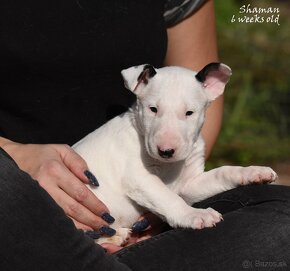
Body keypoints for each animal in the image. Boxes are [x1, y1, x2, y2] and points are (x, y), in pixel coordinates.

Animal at [72, 63, 276, 246]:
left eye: (189, 113)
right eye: (153, 109)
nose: (166, 151)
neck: (169, 165)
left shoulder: (189, 184)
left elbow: (222, 172)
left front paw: (252, 172)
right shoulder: (138, 178)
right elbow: (168, 198)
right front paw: (196, 214)